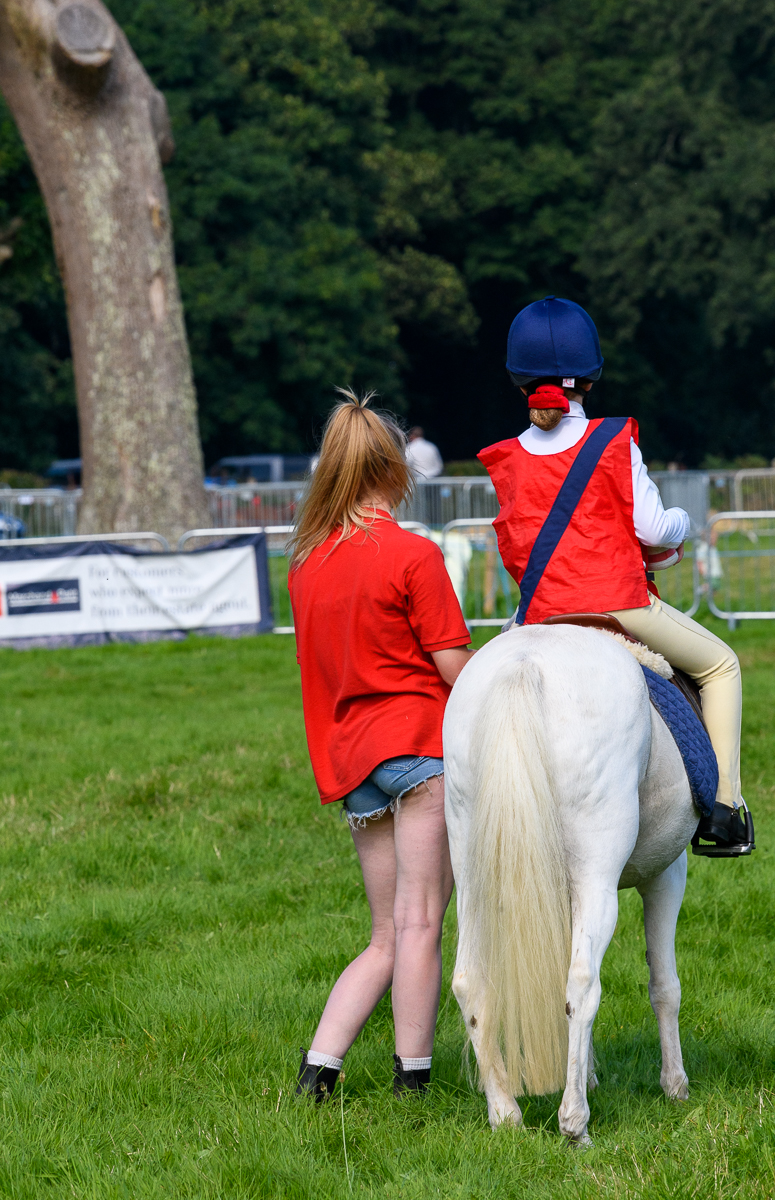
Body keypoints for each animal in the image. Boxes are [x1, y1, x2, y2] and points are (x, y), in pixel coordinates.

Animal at [443, 622, 700, 1145]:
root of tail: (524, 664)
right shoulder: (667, 873)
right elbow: (664, 984)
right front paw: (674, 1085)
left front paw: (590, 1073)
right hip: (597, 880)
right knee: (581, 984)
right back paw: (574, 1122)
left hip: (473, 881)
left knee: (469, 982)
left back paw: (505, 1114)